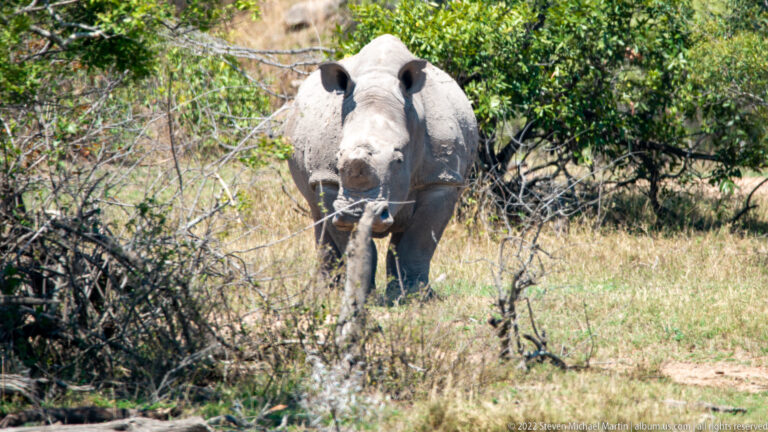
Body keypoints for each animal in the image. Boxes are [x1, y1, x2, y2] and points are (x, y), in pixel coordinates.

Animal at [285, 34, 478, 304]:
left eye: (398, 159)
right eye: (338, 156)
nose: (357, 212)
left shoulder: (441, 179)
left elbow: (417, 242)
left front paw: (414, 297)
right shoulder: (328, 180)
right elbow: (351, 240)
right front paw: (360, 292)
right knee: (317, 215)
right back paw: (326, 293)